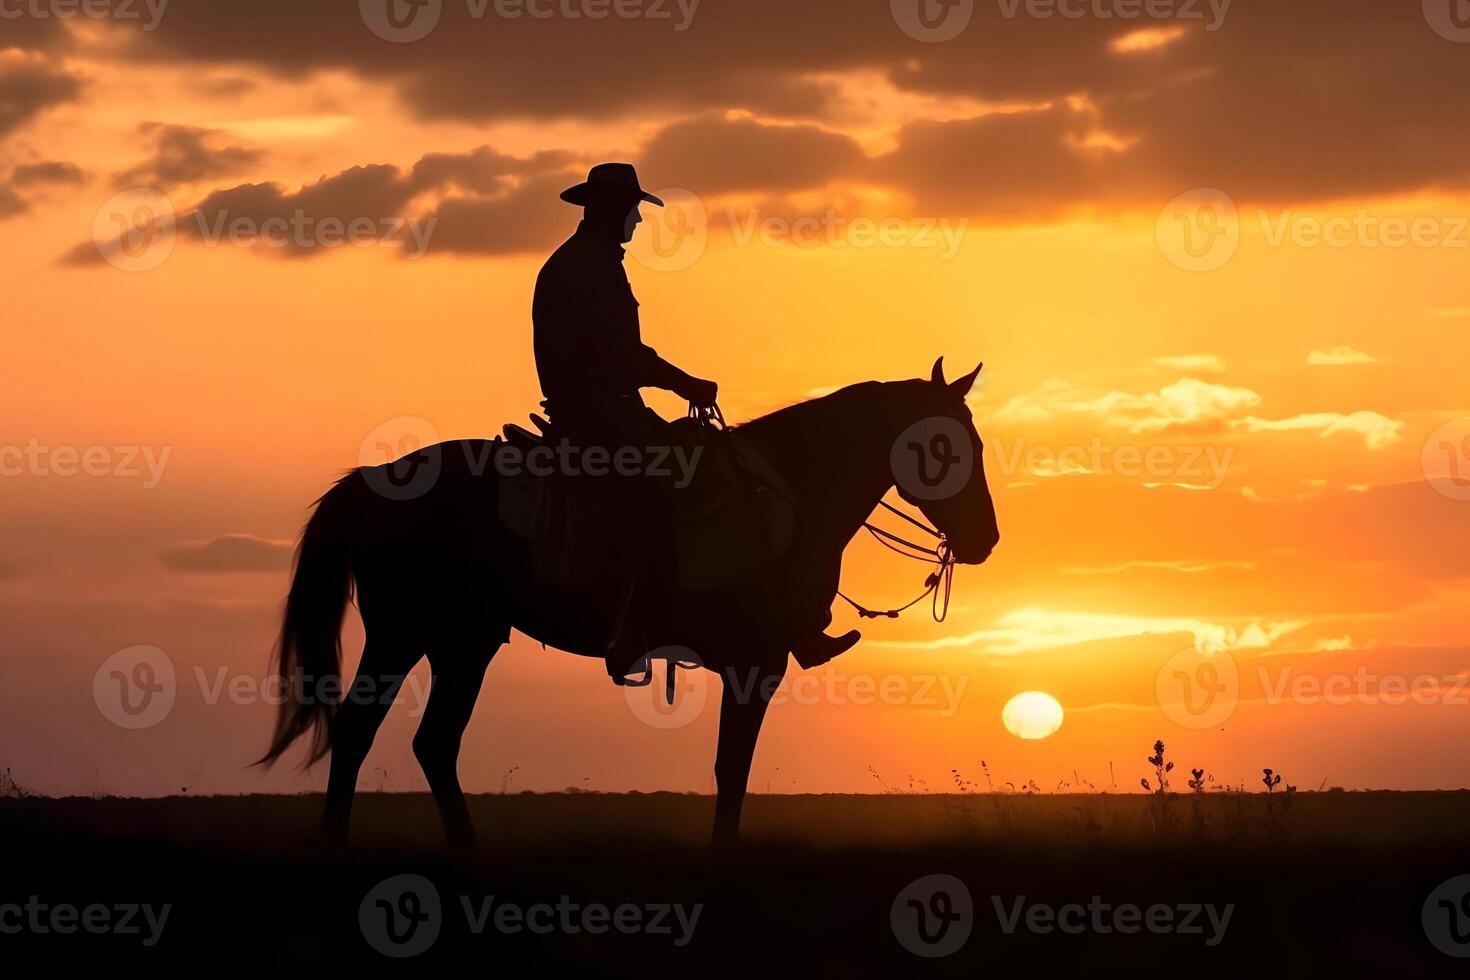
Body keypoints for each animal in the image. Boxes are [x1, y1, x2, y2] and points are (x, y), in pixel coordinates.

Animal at [261, 357, 999, 846]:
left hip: (459, 644)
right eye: (945, 446)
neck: (789, 495)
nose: (986, 538)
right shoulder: (754, 665)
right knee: (365, 733)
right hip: (406, 636)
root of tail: (370, 482)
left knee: (429, 742)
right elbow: (732, 769)